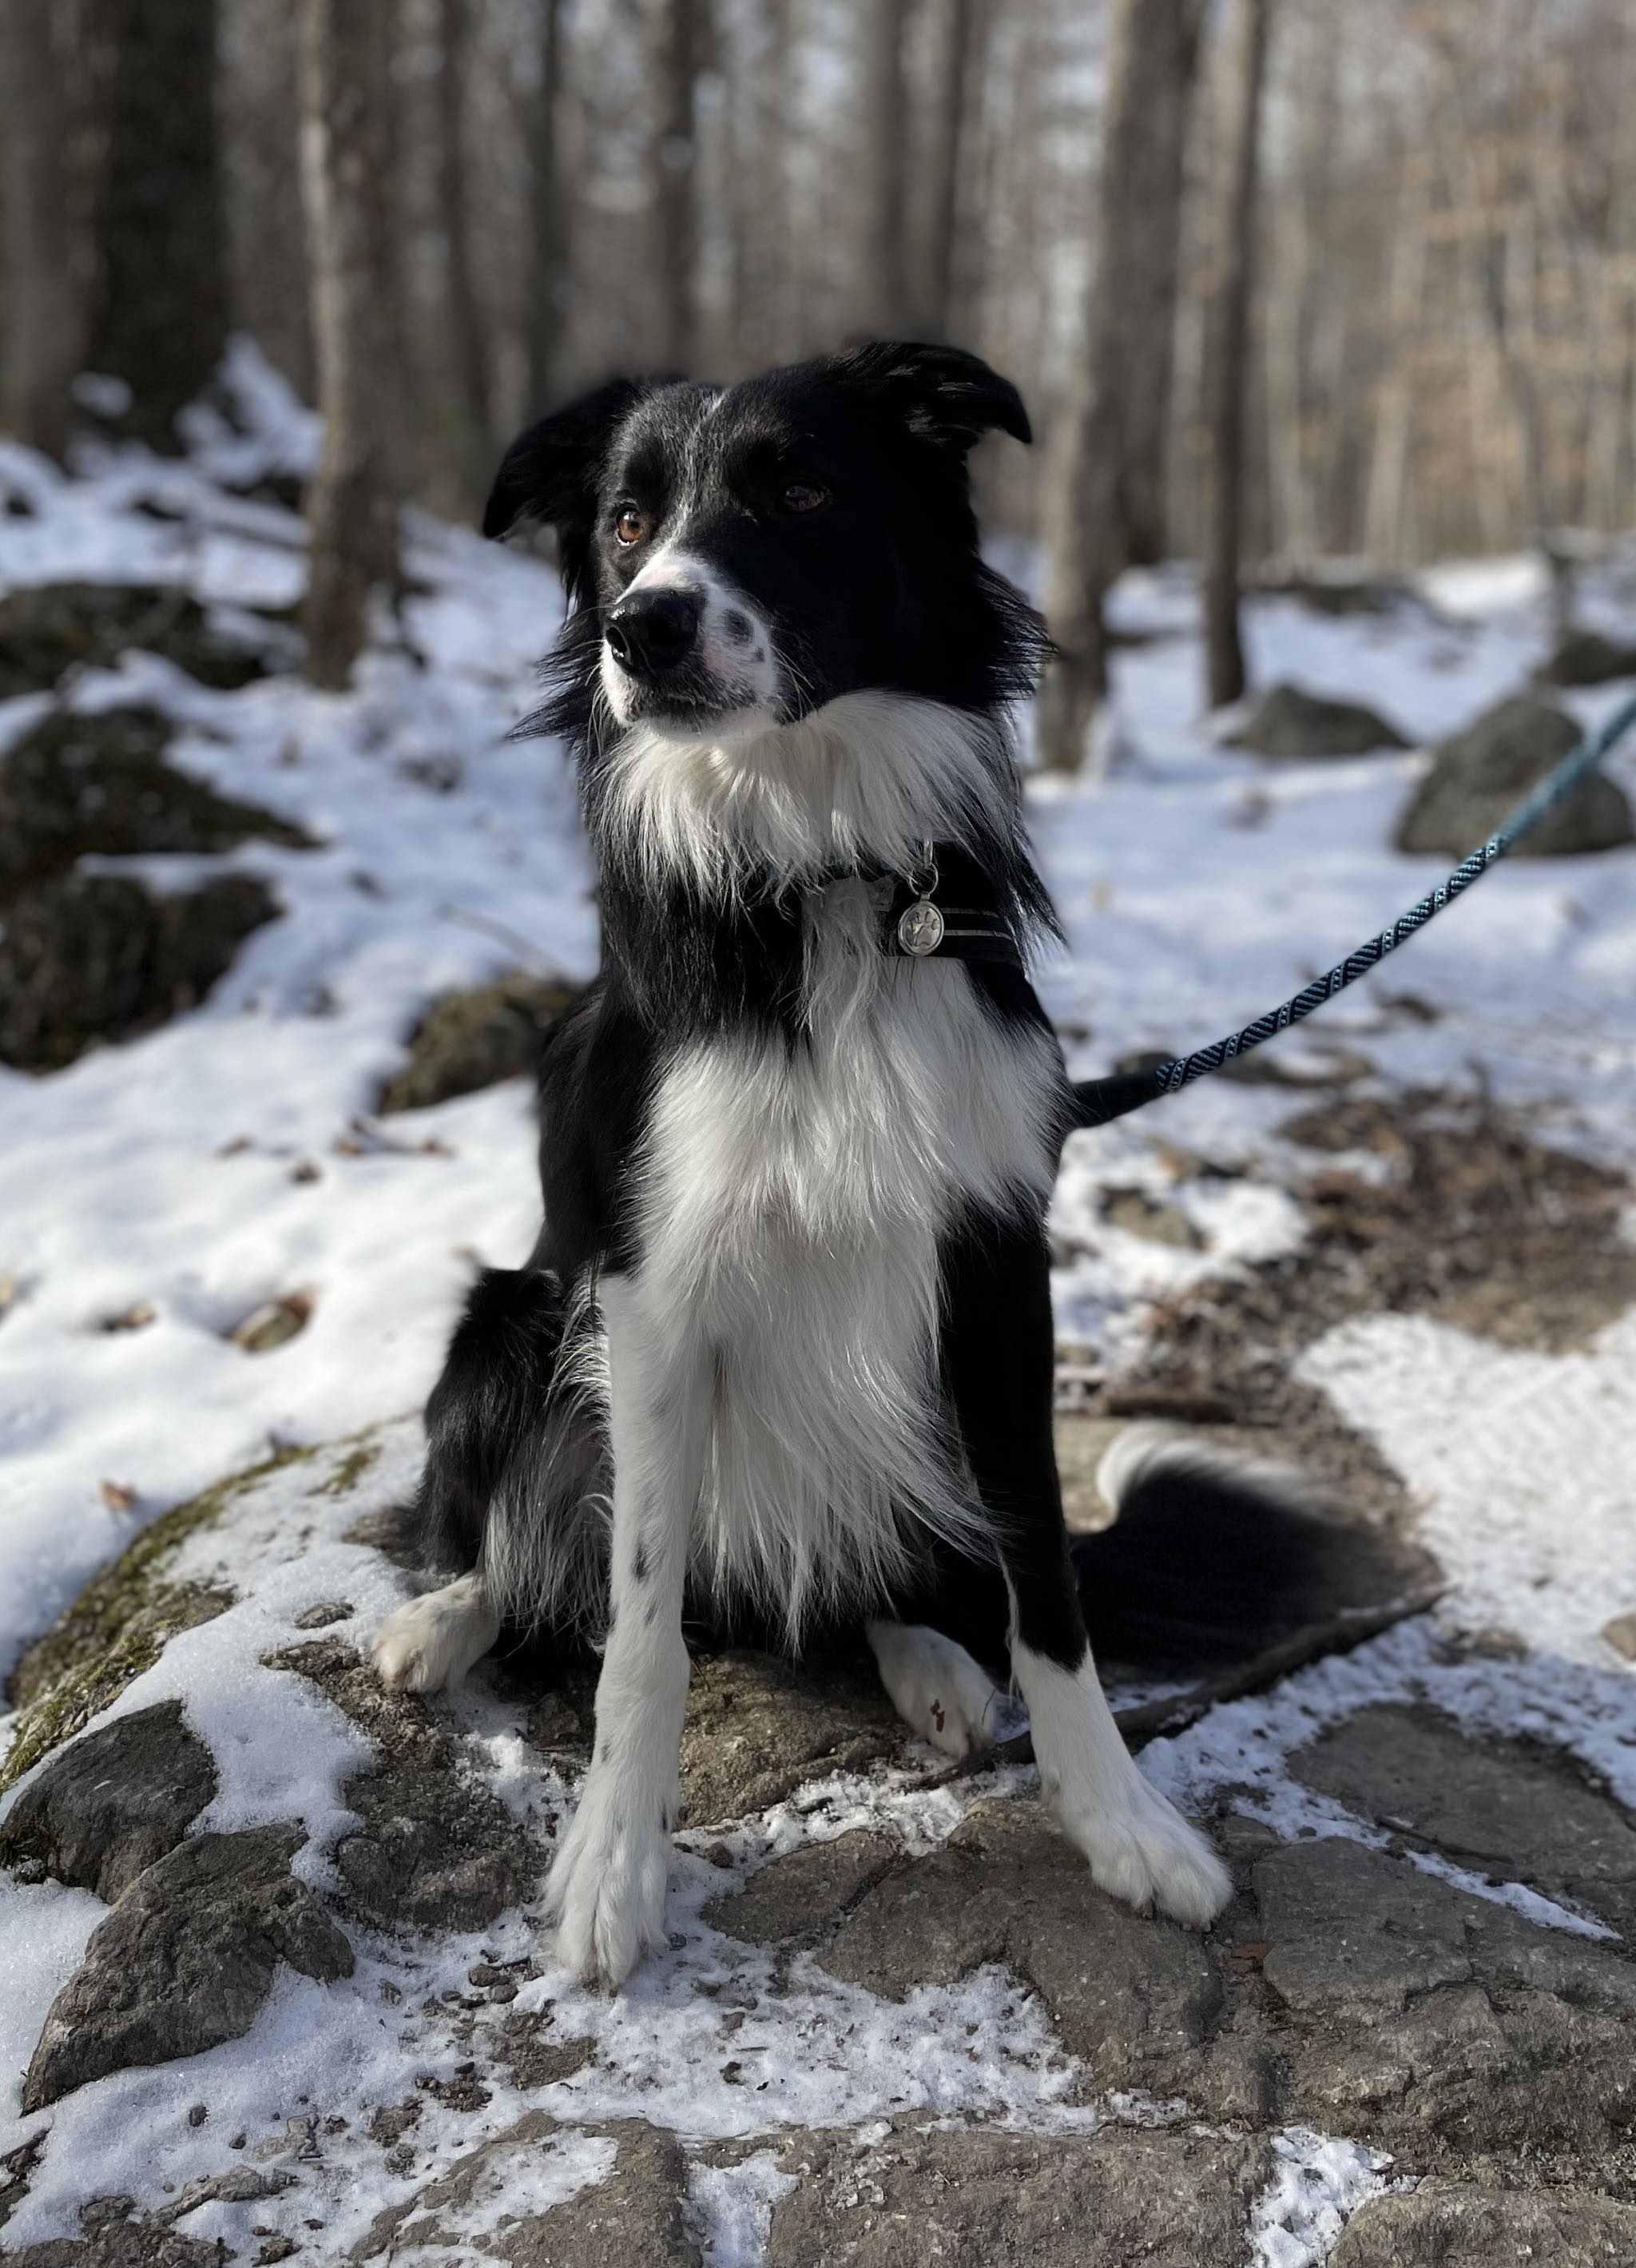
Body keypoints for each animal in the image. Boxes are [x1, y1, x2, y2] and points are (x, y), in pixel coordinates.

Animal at [370, 336, 1316, 1986]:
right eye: (625, 522)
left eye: (798, 490)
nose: (639, 626)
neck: (819, 875)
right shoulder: (647, 1289)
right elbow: (638, 1626)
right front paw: (612, 1866)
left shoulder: (997, 1266)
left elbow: (1046, 1583)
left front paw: (1119, 1821)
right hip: (512, 1316)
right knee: (519, 1540)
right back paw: (444, 1617)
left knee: (908, 1572)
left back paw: (928, 1655)